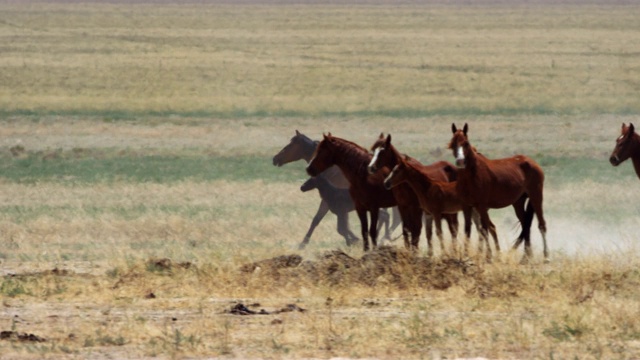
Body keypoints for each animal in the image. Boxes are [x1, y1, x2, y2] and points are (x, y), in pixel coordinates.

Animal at [448, 124, 548, 262]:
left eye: (466, 143)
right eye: (453, 144)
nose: (460, 161)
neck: (472, 174)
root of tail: (533, 163)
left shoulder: (482, 206)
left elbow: (484, 229)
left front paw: (487, 256)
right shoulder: (467, 206)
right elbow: (468, 230)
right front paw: (466, 256)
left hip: (536, 196)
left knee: (541, 225)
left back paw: (546, 257)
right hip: (518, 202)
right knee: (526, 225)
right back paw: (525, 258)